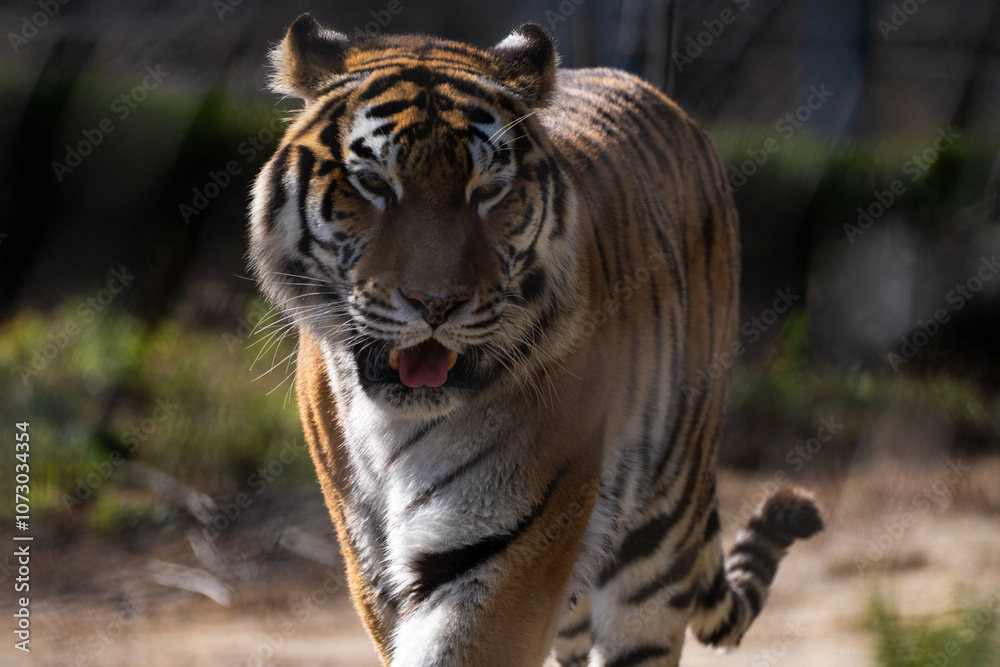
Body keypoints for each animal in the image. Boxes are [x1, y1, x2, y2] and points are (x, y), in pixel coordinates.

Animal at [248, 14, 822, 667]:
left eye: (487, 191)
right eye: (373, 184)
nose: (435, 303)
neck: (391, 424)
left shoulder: (505, 545)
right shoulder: (368, 557)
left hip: (659, 533)